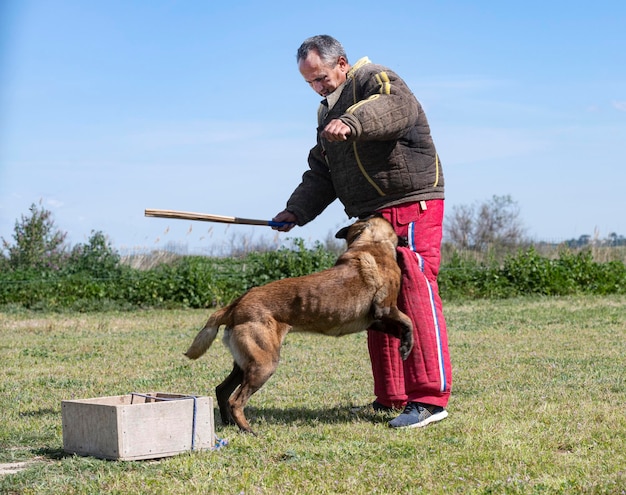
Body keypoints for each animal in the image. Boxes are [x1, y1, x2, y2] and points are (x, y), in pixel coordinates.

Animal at [183, 217, 412, 434]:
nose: (406, 237)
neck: (370, 243)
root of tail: (235, 305)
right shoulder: (385, 309)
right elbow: (409, 321)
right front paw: (407, 346)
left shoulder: (375, 321)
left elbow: (402, 327)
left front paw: (405, 344)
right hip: (264, 364)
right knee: (235, 400)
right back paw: (247, 429)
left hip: (245, 363)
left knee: (222, 390)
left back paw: (230, 424)